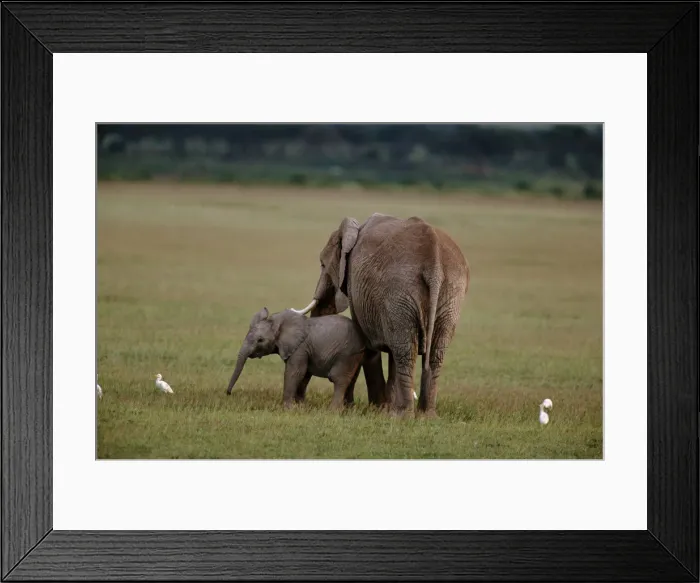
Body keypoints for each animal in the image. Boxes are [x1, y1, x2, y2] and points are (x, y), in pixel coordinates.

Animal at [226, 307, 366, 410]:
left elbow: (295, 373)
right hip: (356, 355)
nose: (228, 393)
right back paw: (349, 410)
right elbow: (304, 376)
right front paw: (301, 407)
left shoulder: (300, 348)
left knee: (338, 379)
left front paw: (288, 409)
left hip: (346, 354)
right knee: (352, 379)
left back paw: (333, 411)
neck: (277, 322)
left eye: (260, 340)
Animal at [291, 213, 469, 418]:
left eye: (322, 264)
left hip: (401, 291)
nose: (300, 401)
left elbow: (368, 347)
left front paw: (374, 408)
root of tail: (435, 265)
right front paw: (383, 408)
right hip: (450, 295)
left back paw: (403, 416)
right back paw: (425, 416)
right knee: (432, 353)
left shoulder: (358, 290)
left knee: (405, 352)